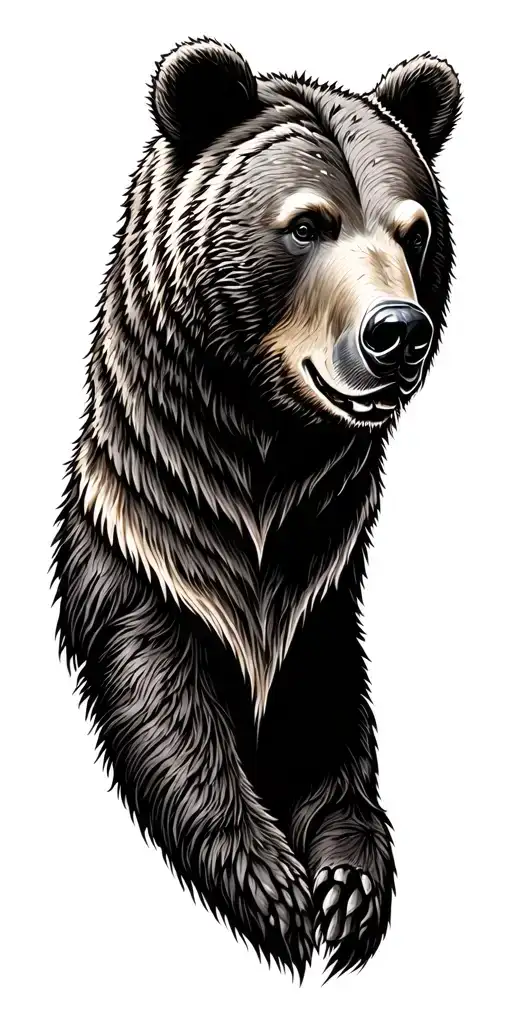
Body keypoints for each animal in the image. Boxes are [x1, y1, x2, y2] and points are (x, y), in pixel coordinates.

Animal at [52, 38, 461, 981]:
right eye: (307, 223)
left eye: (414, 229)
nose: (397, 332)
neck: (264, 453)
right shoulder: (149, 546)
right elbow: (163, 700)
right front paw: (271, 887)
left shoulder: (322, 570)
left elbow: (328, 712)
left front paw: (346, 887)